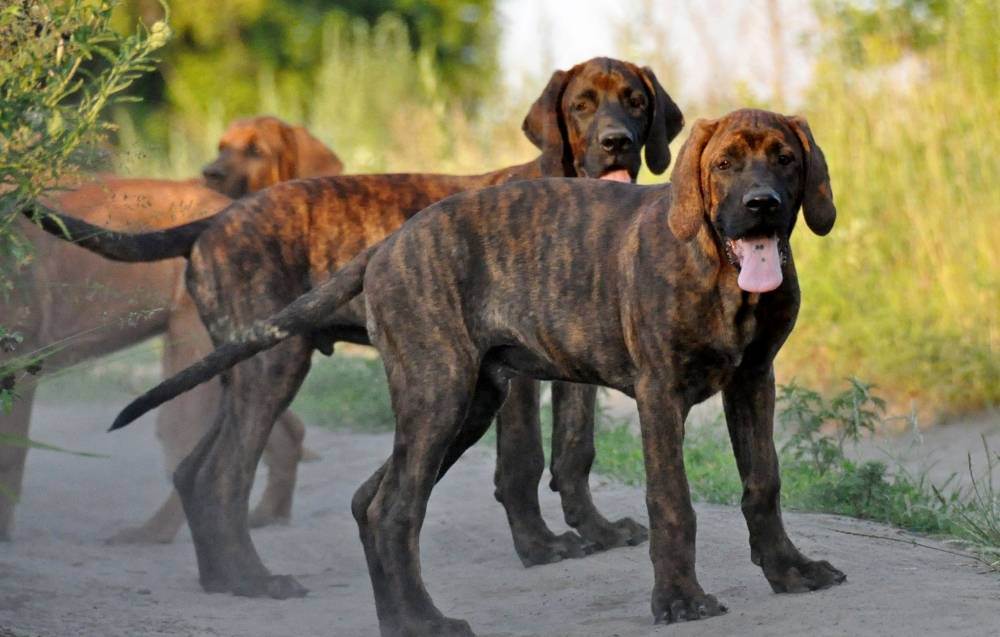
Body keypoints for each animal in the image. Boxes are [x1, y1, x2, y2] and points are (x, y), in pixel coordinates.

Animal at [0, 116, 342, 542]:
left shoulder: (21, 360)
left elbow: (11, 456)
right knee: (280, 435)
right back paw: (267, 516)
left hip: (189, 369)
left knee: (190, 461)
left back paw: (152, 535)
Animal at [124, 108, 846, 634]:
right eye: (724, 164)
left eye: (784, 158)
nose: (761, 204)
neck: (722, 275)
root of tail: (388, 245)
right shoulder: (658, 394)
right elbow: (672, 501)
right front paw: (679, 598)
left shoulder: (754, 382)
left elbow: (763, 483)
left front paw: (788, 569)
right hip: (428, 392)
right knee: (389, 509)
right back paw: (422, 622)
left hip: (464, 403)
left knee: (368, 501)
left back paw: (399, 621)